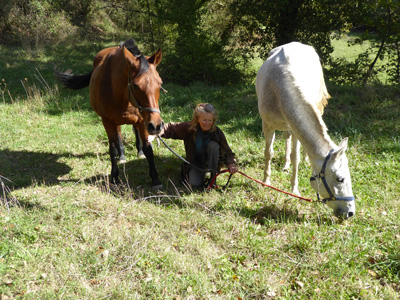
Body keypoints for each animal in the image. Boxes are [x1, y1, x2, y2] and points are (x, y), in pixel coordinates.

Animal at [54, 37, 164, 188]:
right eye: (135, 85)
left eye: (160, 83)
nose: (157, 126)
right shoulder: (108, 121)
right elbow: (113, 149)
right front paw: (115, 177)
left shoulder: (143, 120)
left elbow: (148, 149)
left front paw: (155, 178)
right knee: (119, 137)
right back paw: (122, 156)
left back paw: (139, 151)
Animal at [255, 41, 354, 218]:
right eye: (340, 179)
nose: (350, 213)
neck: (280, 88)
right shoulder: (267, 124)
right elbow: (268, 153)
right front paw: (266, 181)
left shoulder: (296, 130)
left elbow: (296, 158)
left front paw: (294, 189)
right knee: (286, 136)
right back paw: (285, 164)